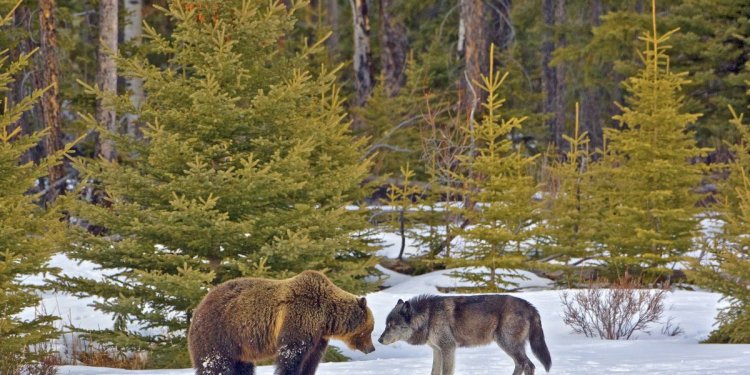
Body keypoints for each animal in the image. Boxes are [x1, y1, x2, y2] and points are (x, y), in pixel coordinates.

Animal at [188, 272, 376, 375]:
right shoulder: (299, 317)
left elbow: (312, 359)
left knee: (243, 367)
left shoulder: (318, 336)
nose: (372, 348)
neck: (325, 316)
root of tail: (200, 304)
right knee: (215, 364)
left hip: (240, 346)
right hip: (219, 332)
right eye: (370, 330)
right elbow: (291, 354)